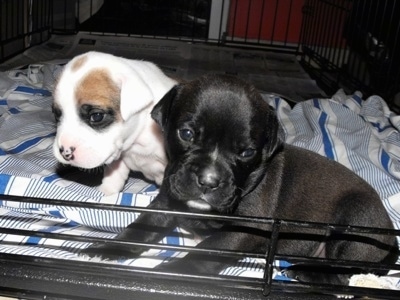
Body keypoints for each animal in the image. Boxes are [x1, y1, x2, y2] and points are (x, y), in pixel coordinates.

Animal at [83, 74, 398, 284]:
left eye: (247, 152)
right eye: (187, 134)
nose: (208, 181)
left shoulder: (245, 229)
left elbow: (206, 250)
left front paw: (171, 273)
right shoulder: (168, 200)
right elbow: (141, 227)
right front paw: (108, 248)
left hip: (353, 223)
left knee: (343, 275)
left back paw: (302, 271)